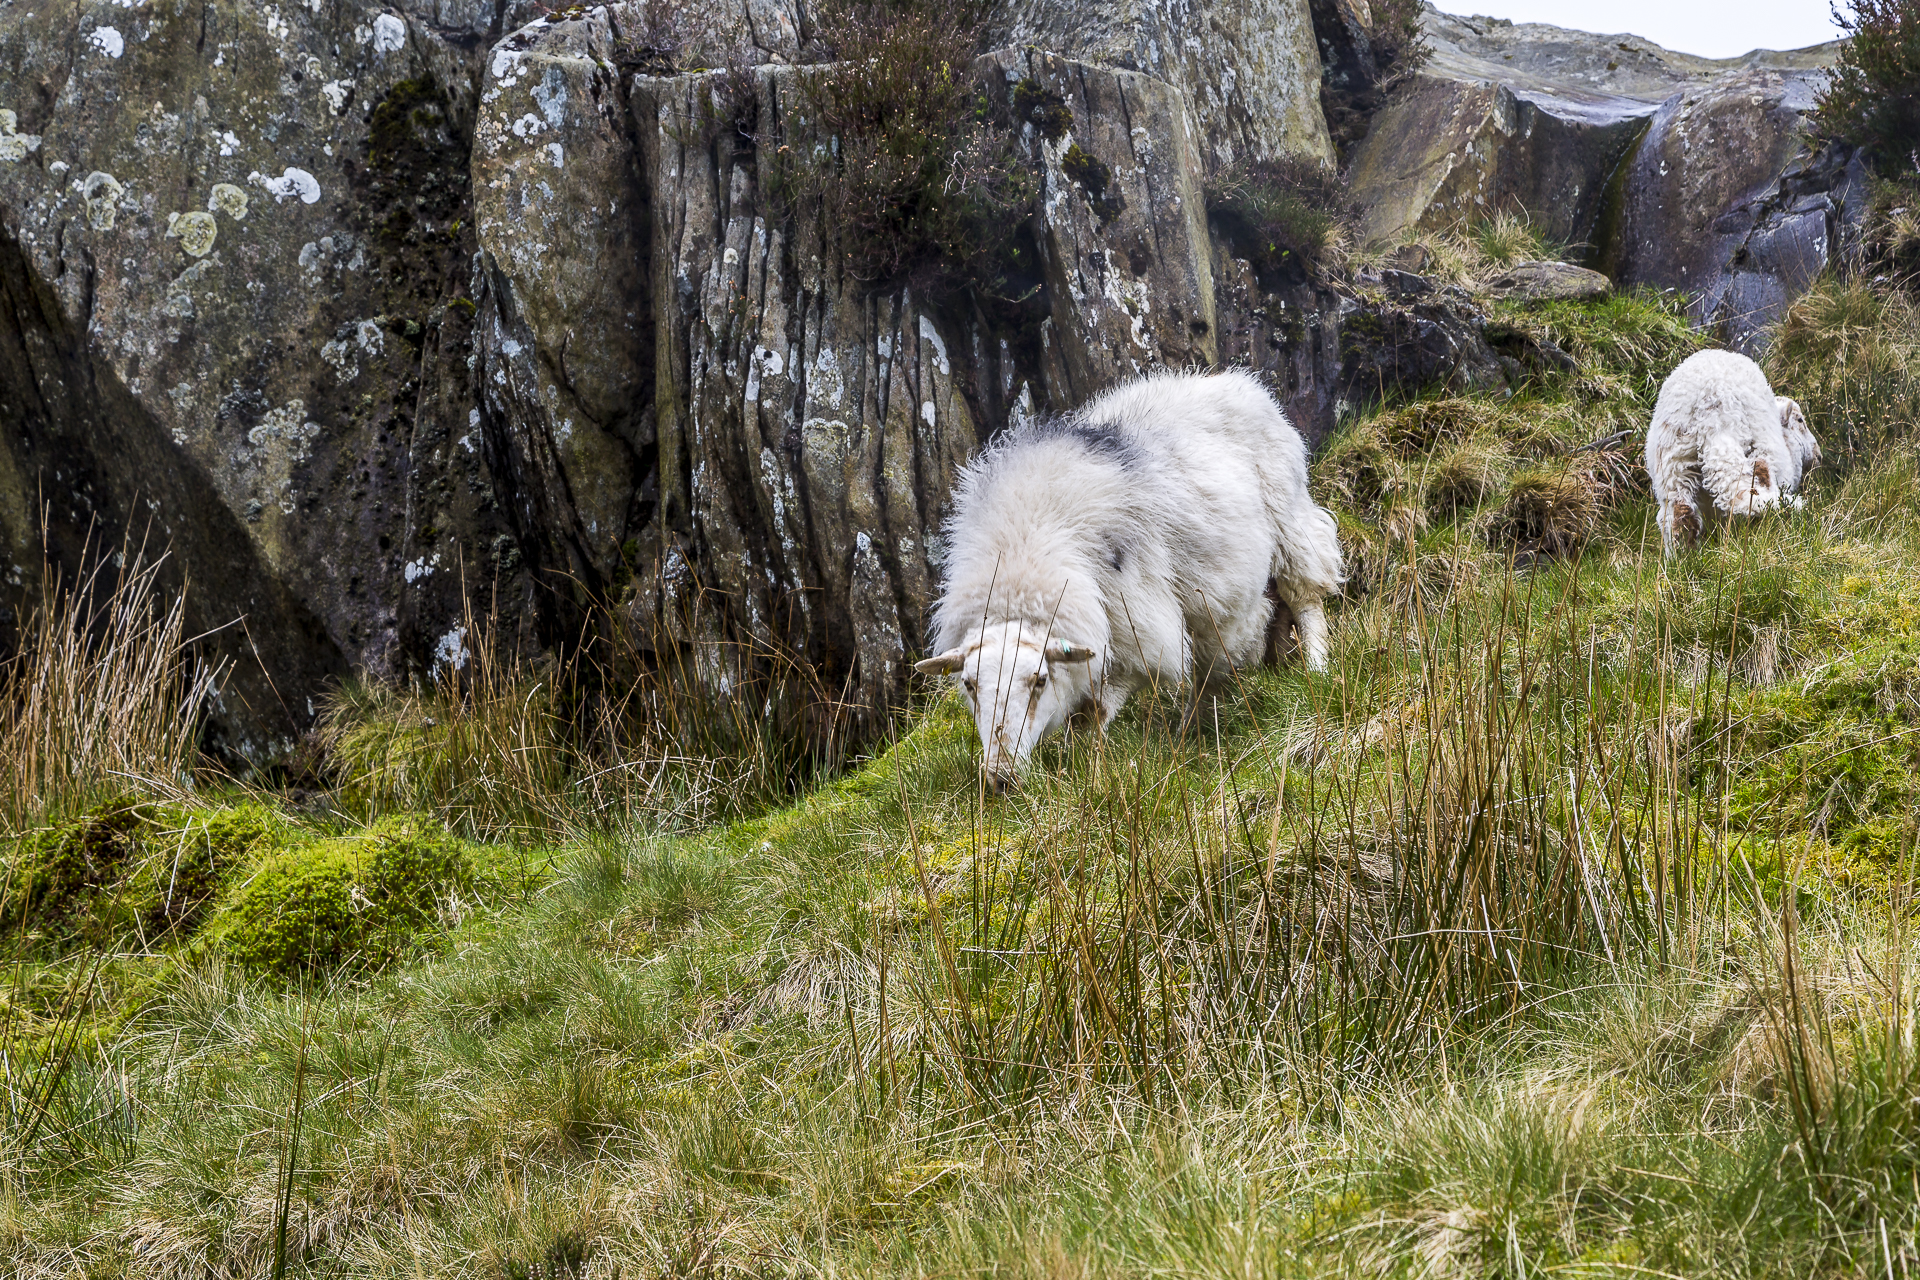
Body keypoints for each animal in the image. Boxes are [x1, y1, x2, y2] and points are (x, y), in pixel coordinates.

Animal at [913, 369, 1344, 787]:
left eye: (1039, 681)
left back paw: (1317, 670)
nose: (1000, 777)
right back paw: (1197, 724)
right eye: (969, 685)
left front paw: (1086, 768)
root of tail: (1239, 382)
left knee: (1305, 599)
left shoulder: (1138, 634)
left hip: (1289, 525)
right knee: (1218, 655)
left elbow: (1095, 712)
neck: (1023, 547)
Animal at [1646, 349, 1821, 554]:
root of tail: (1708, 405)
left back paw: (1683, 556)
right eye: (1800, 420)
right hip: (1752, 442)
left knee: (1678, 513)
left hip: (1673, 462)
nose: (1818, 455)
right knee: (1755, 483)